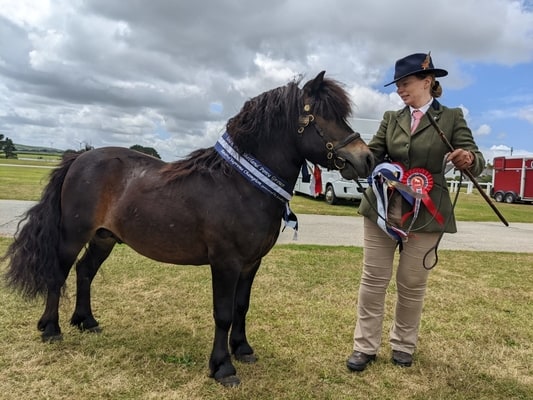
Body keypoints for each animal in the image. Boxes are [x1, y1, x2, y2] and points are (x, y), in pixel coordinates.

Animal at [2, 71, 372, 384]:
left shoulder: (251, 264)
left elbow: (241, 306)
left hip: (104, 239)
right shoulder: (225, 263)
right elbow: (223, 313)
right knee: (59, 274)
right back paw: (51, 329)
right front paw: (222, 367)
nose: (365, 158)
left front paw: (243, 349)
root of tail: (79, 157)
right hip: (72, 236)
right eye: (323, 116)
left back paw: (86, 321)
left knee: (85, 272)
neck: (241, 184)